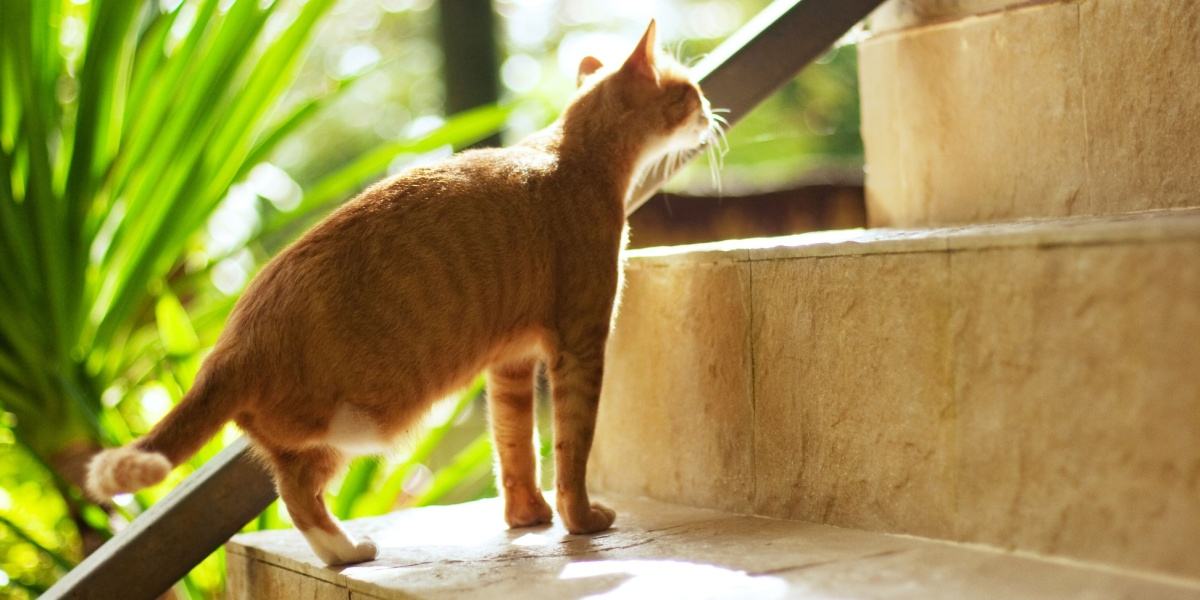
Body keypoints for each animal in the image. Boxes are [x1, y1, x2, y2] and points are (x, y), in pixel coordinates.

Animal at [88, 22, 715, 566]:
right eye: (689, 91)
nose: (711, 112)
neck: (573, 156)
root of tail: (230, 345)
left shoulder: (511, 364)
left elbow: (514, 446)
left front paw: (528, 518)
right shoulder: (581, 346)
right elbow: (571, 446)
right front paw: (580, 521)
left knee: (293, 487)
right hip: (350, 428)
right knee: (298, 495)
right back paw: (347, 551)